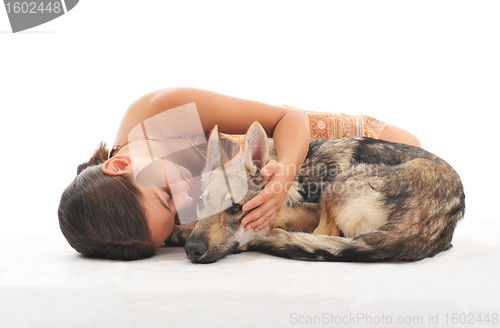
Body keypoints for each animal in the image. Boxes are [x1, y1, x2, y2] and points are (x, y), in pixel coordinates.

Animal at [167, 123, 464, 264]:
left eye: (236, 209)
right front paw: (181, 229)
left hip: (336, 188)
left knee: (322, 235)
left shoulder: (308, 209)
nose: (191, 250)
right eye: (201, 204)